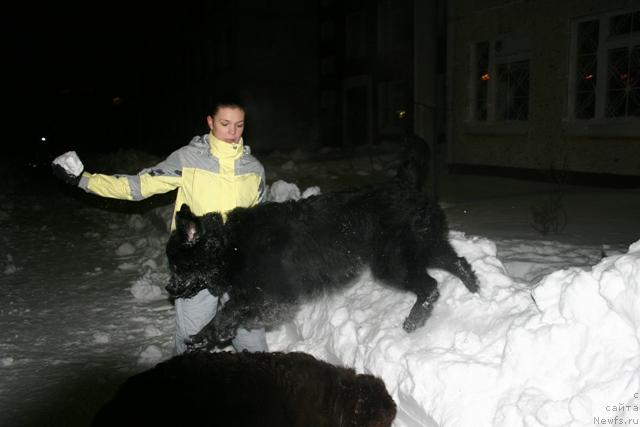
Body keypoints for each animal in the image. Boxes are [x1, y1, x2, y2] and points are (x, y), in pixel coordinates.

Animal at [168, 140, 478, 352]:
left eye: (177, 265)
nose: (169, 289)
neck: (232, 245)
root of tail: (404, 183)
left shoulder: (273, 294)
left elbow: (229, 310)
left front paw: (208, 335)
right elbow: (231, 312)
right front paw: (213, 336)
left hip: (393, 261)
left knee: (430, 286)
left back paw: (413, 321)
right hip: (425, 244)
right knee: (456, 262)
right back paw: (473, 287)